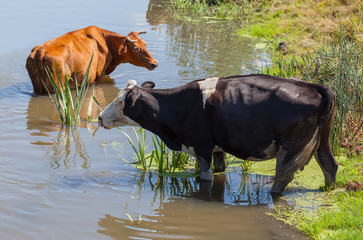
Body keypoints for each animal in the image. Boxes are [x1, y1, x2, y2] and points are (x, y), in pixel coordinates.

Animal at [26, 25, 158, 94]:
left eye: (145, 44)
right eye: (136, 48)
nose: (154, 63)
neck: (107, 42)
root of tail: (40, 50)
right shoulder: (99, 75)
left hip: (38, 88)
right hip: (57, 87)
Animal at [98, 74, 340, 192]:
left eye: (120, 101)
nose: (99, 118)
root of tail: (312, 86)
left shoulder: (202, 145)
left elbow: (205, 179)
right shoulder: (217, 149)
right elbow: (219, 171)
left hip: (290, 147)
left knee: (283, 176)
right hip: (322, 140)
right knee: (330, 165)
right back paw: (328, 190)